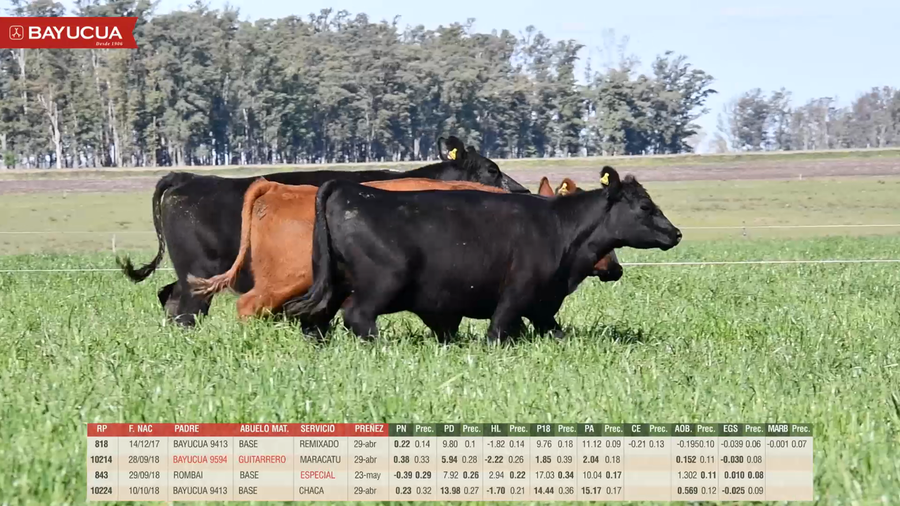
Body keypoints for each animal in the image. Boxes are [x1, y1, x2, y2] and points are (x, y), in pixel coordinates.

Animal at [115, 136, 529, 326]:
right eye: (492, 170)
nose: (524, 193)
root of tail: (187, 177)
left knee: (168, 298)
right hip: (198, 275)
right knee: (185, 309)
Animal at [282, 166, 681, 343]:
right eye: (645, 206)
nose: (676, 233)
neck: (560, 229)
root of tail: (349, 189)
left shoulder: (542, 305)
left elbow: (552, 332)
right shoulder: (516, 294)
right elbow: (498, 331)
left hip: (333, 285)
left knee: (315, 321)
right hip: (379, 286)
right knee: (357, 317)